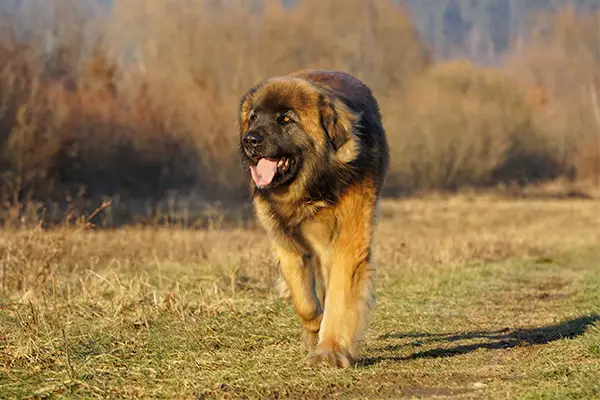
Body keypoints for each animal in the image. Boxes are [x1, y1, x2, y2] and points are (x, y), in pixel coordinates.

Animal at [238, 69, 390, 368]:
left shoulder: (347, 243)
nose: (250, 140)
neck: (311, 188)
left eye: (286, 119)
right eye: (254, 117)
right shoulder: (286, 243)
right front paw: (315, 328)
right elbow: (305, 301)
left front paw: (330, 349)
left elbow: (339, 298)